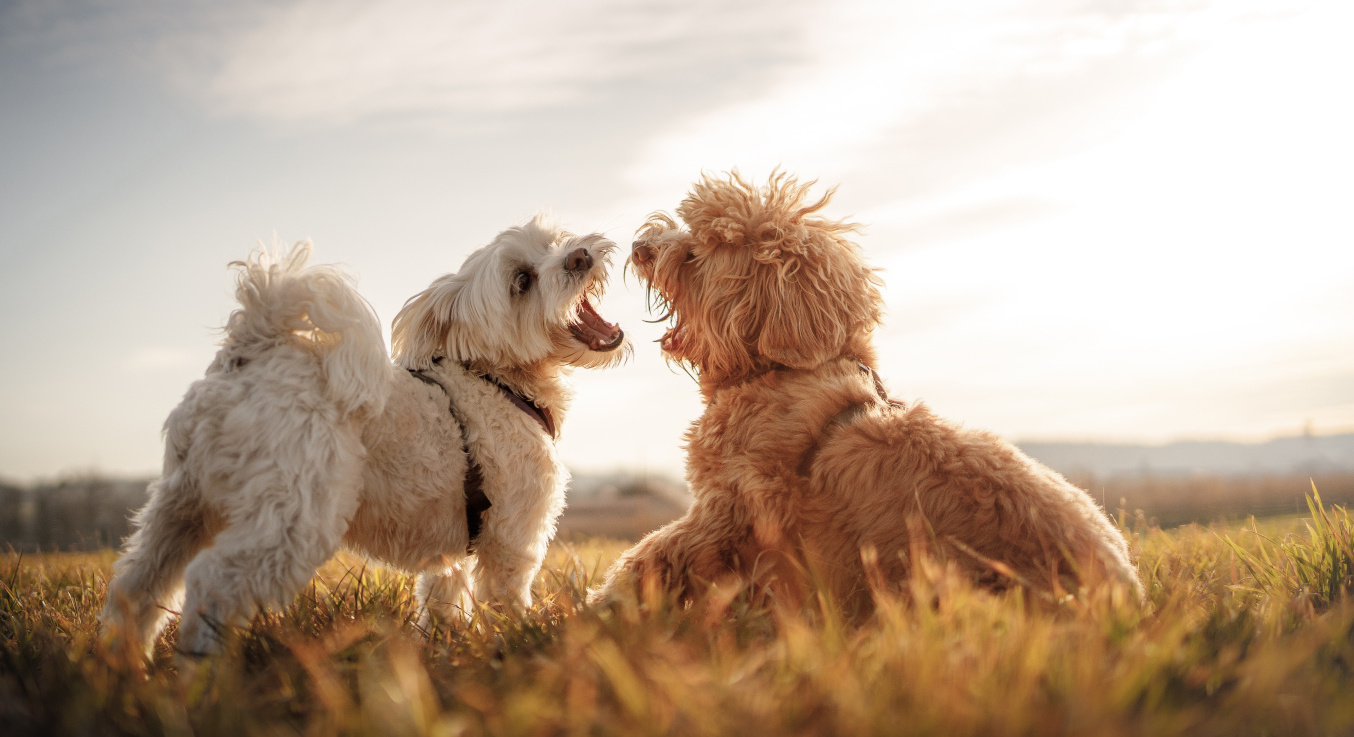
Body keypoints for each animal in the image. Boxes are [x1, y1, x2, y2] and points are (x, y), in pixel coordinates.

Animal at [101, 216, 628, 655]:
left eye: (555, 241)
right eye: (522, 281)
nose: (579, 256)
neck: (493, 381)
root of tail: (250, 352)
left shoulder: (454, 551)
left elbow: (442, 601)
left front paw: (442, 650)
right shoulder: (510, 537)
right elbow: (504, 598)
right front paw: (521, 640)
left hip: (179, 508)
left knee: (136, 587)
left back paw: (125, 671)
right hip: (291, 522)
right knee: (212, 586)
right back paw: (201, 679)